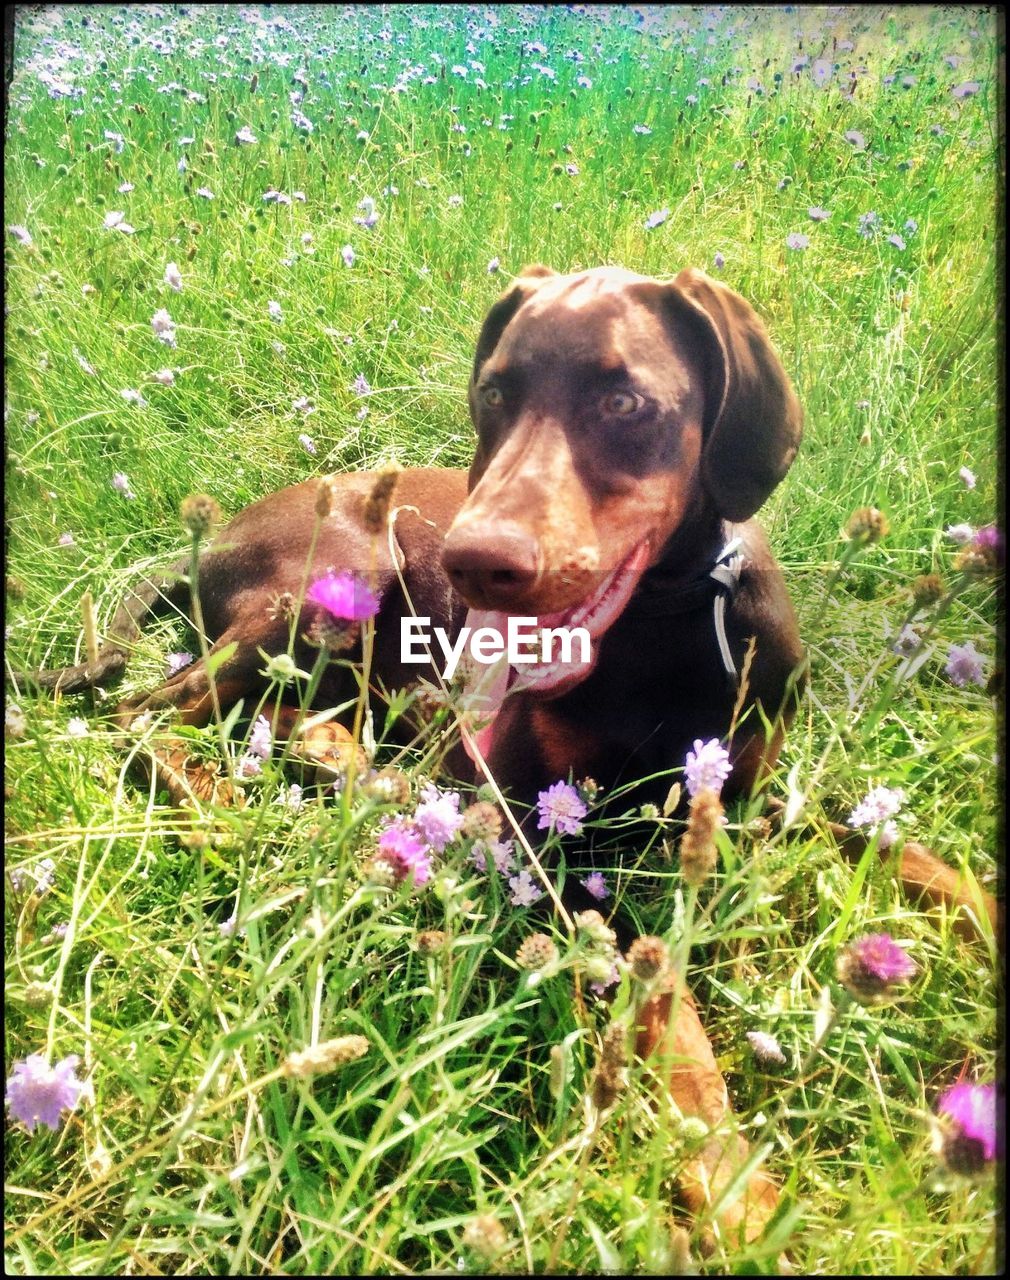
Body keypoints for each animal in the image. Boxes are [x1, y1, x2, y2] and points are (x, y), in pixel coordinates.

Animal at [23, 264, 993, 1244]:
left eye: (623, 400)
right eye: (494, 393)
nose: (475, 563)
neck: (671, 621)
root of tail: (209, 544)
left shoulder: (749, 791)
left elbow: (905, 850)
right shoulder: (555, 837)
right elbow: (670, 1020)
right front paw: (731, 1188)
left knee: (286, 714)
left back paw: (342, 765)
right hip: (334, 577)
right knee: (143, 715)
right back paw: (229, 811)